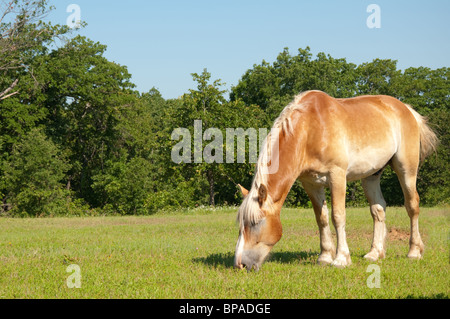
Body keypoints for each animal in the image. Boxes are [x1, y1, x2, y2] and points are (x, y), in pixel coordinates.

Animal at [234, 91, 438, 272]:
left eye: (255, 223)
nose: (240, 264)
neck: (310, 129)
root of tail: (406, 109)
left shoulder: (337, 176)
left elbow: (338, 216)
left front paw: (341, 259)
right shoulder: (311, 183)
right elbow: (322, 218)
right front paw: (324, 257)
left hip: (406, 169)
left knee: (412, 206)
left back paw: (414, 251)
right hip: (371, 175)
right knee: (378, 209)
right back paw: (374, 253)